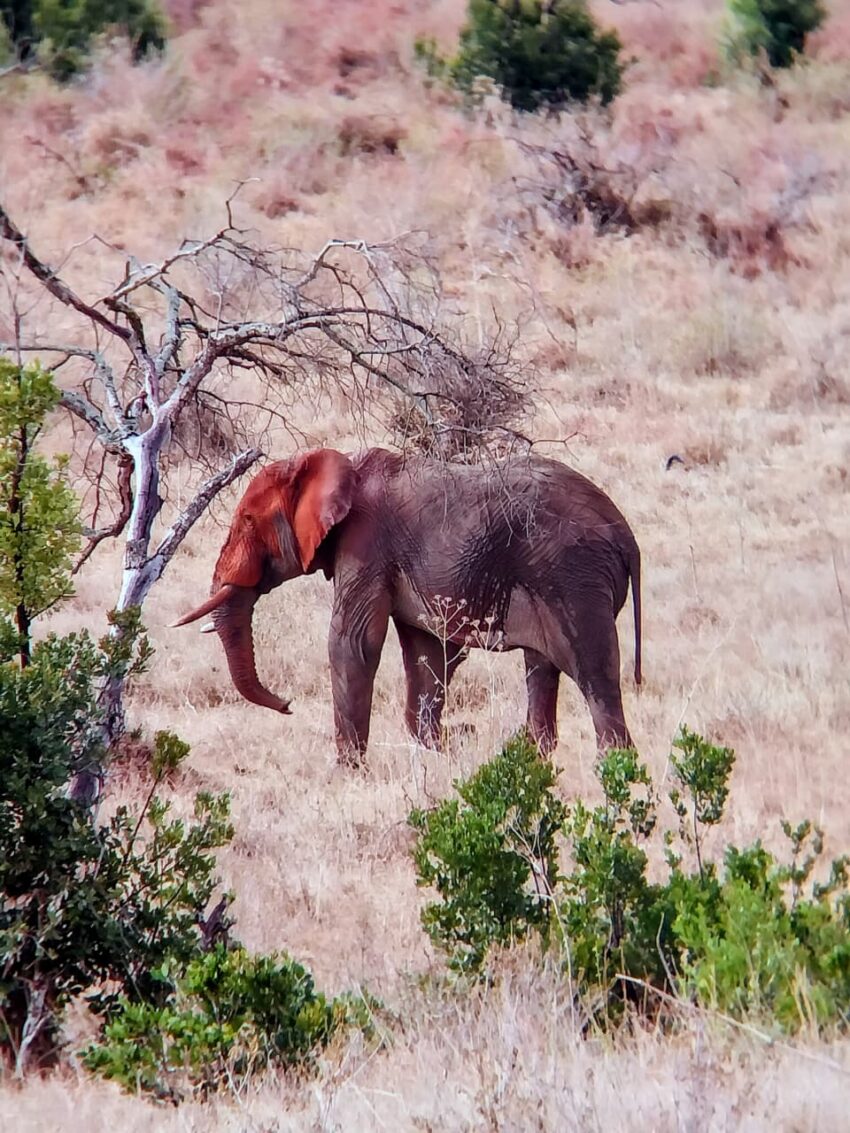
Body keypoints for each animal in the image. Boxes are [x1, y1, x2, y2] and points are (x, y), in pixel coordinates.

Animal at [174, 447, 642, 762]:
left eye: (247, 521)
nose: (288, 705)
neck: (333, 463)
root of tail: (626, 535)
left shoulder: (366, 544)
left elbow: (352, 643)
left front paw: (349, 771)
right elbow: (426, 653)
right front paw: (440, 747)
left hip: (574, 577)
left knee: (594, 675)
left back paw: (615, 769)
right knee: (541, 671)